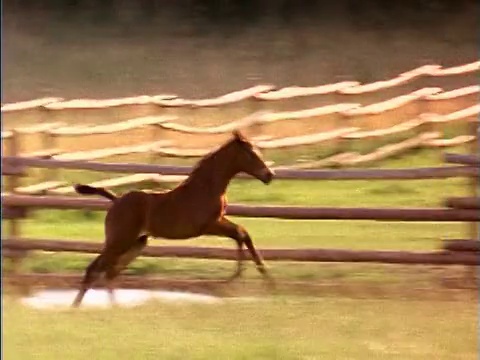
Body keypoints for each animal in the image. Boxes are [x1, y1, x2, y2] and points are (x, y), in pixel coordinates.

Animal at [70, 131, 274, 308]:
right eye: (251, 154)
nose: (269, 175)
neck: (207, 187)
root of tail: (116, 200)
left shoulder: (219, 220)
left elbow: (243, 233)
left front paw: (263, 276)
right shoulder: (209, 225)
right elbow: (240, 233)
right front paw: (240, 277)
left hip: (137, 243)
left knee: (110, 272)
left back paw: (114, 308)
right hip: (119, 241)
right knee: (95, 269)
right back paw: (75, 308)